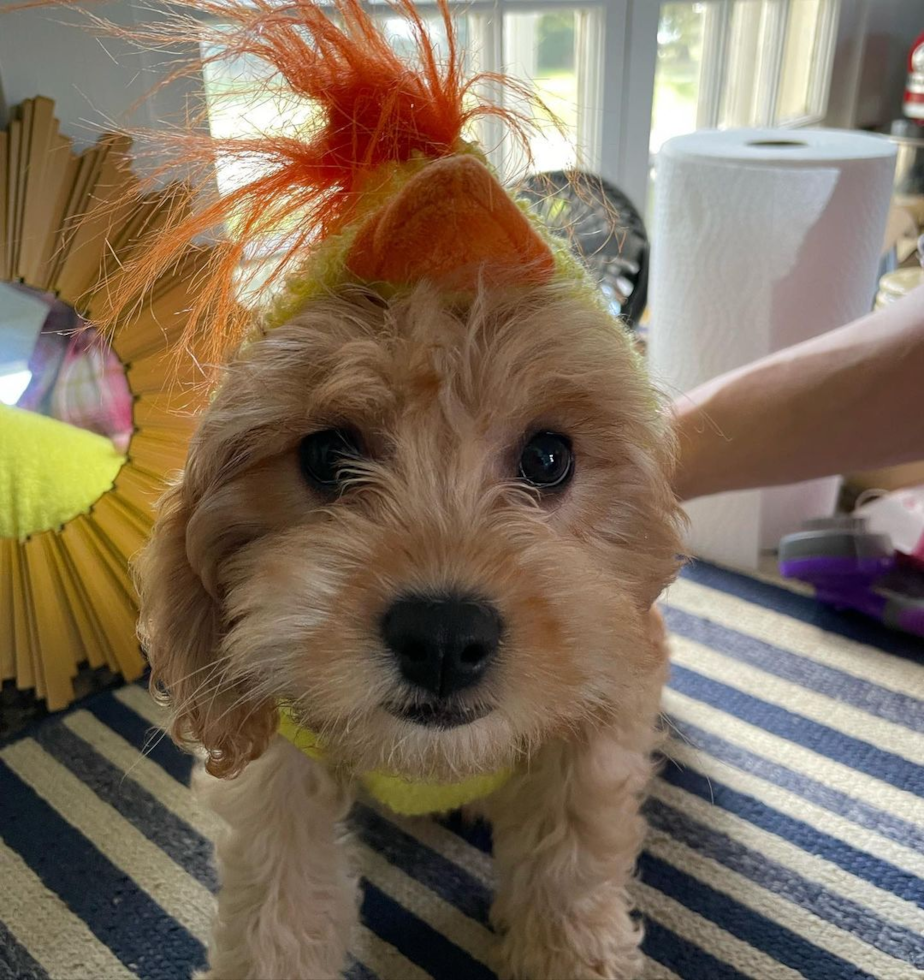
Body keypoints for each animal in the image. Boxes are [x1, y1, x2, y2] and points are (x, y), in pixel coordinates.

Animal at [139, 278, 684, 980]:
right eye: (326, 454)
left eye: (548, 458)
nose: (444, 639)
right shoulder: (278, 750)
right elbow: (278, 889)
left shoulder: (602, 695)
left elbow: (573, 852)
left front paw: (572, 953)